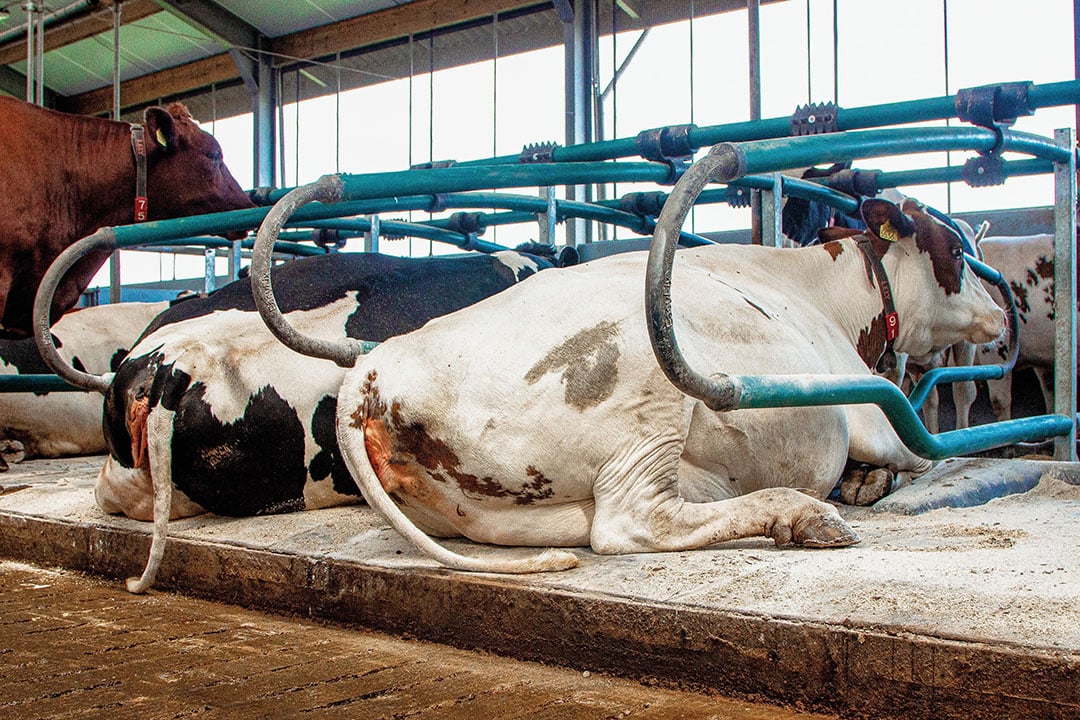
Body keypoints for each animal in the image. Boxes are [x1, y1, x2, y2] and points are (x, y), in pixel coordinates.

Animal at [334, 198, 1002, 574]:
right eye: (955, 253)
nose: (1000, 312)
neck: (828, 296)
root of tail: (377, 366)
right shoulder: (864, 408)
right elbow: (918, 455)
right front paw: (876, 479)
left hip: (489, 513)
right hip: (643, 380)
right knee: (631, 523)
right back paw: (803, 514)